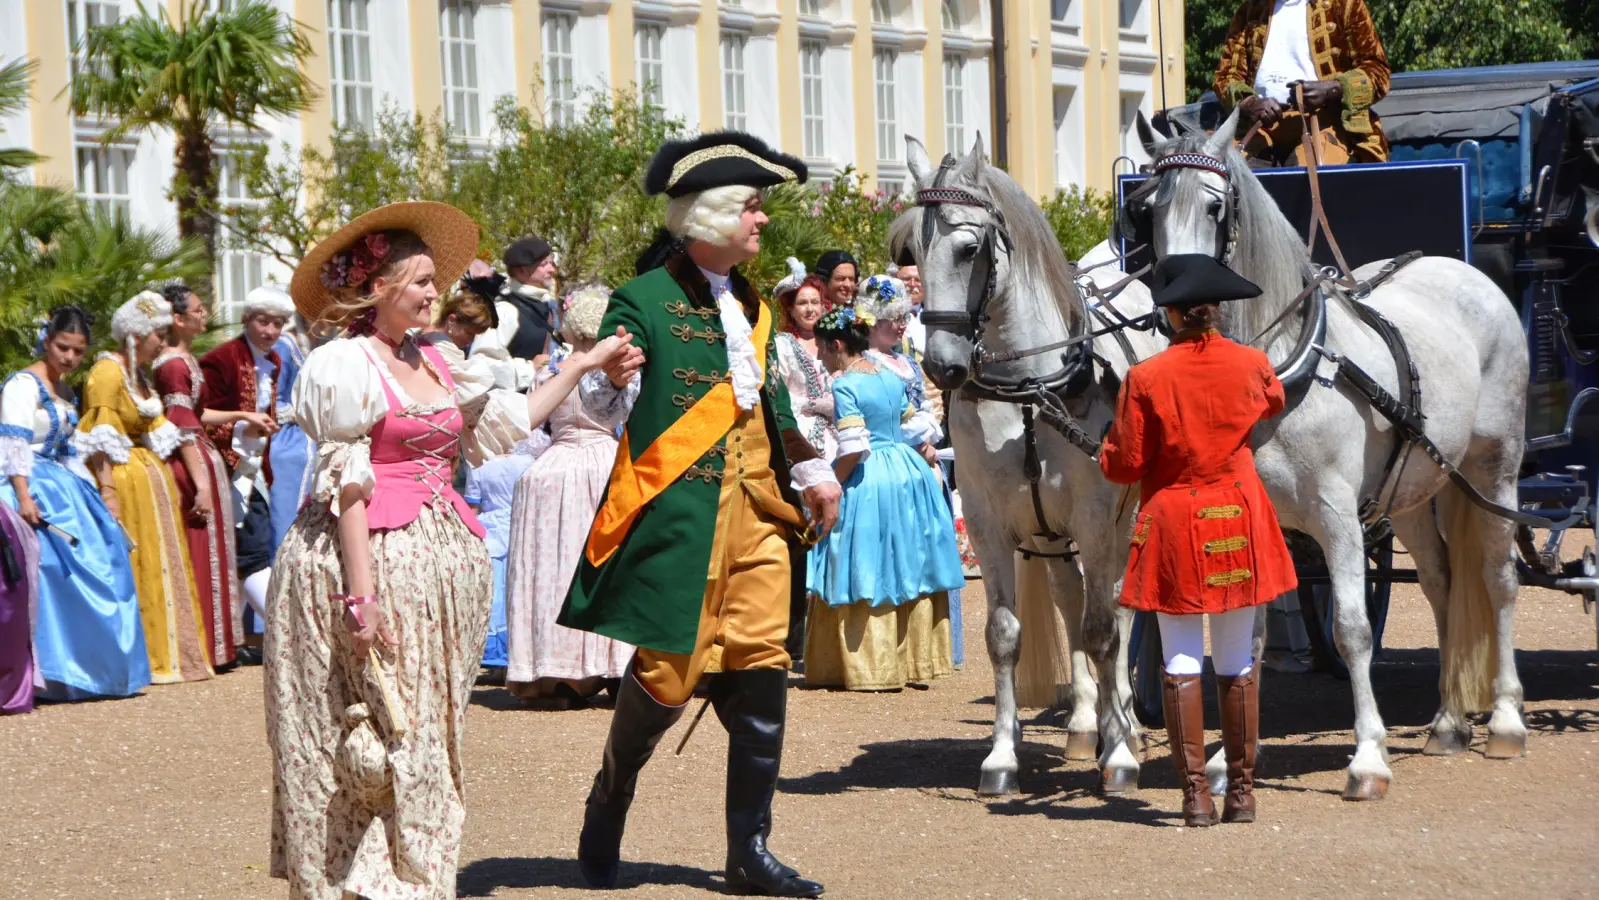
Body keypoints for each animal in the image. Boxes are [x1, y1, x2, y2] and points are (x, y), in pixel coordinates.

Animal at [895, 133, 1170, 796]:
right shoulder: (989, 521)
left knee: (1117, 608)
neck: (1030, 387)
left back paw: (1124, 720)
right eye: (913, 252)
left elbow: (1103, 630)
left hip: (1123, 521)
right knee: (1072, 602)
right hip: (1050, 534)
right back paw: (1086, 722)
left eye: (970, 248)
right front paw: (1001, 756)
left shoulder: (1097, 517)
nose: (940, 366)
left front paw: (1120, 753)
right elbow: (1005, 635)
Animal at [1144, 109, 1528, 799]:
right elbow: (1249, 634)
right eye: (1150, 209)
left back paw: (1507, 718)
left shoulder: (1338, 518)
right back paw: (1448, 722)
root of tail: (1460, 270)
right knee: (1441, 581)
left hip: (1494, 468)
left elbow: (1351, 628)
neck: (1280, 371)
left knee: (1497, 576)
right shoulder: (1259, 521)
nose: (1175, 305)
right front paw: (1229, 758)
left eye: (1215, 207)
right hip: (1411, 489)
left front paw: (1368, 755)